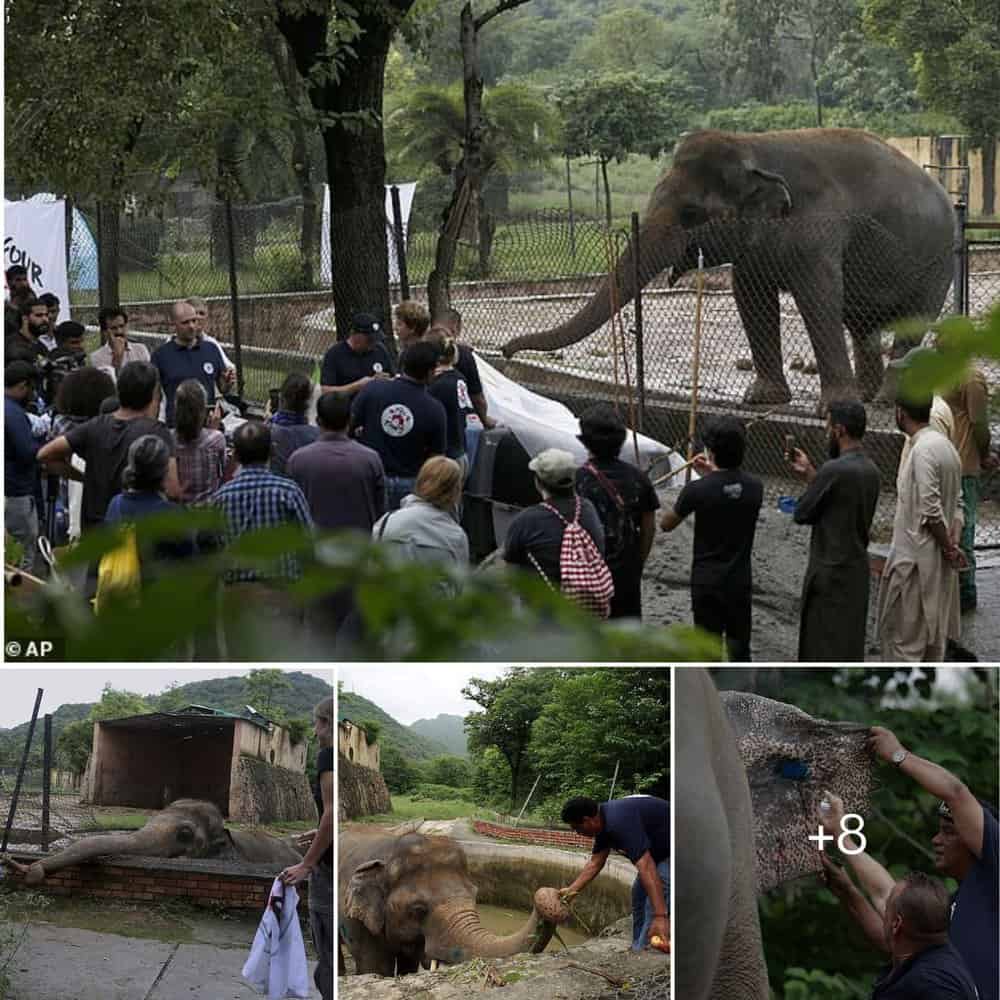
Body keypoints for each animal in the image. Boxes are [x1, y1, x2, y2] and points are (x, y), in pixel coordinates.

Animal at [339, 827, 564, 976]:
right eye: (418, 909)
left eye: (475, 895)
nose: (555, 893)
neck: (389, 852)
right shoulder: (356, 921)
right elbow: (375, 968)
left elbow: (408, 965)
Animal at [502, 128, 955, 410]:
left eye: (690, 214)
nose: (505, 353)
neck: (753, 146)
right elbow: (749, 295)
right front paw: (761, 400)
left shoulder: (819, 230)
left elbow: (818, 296)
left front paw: (831, 409)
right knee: (863, 323)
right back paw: (867, 395)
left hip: (938, 261)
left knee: (915, 319)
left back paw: (885, 400)